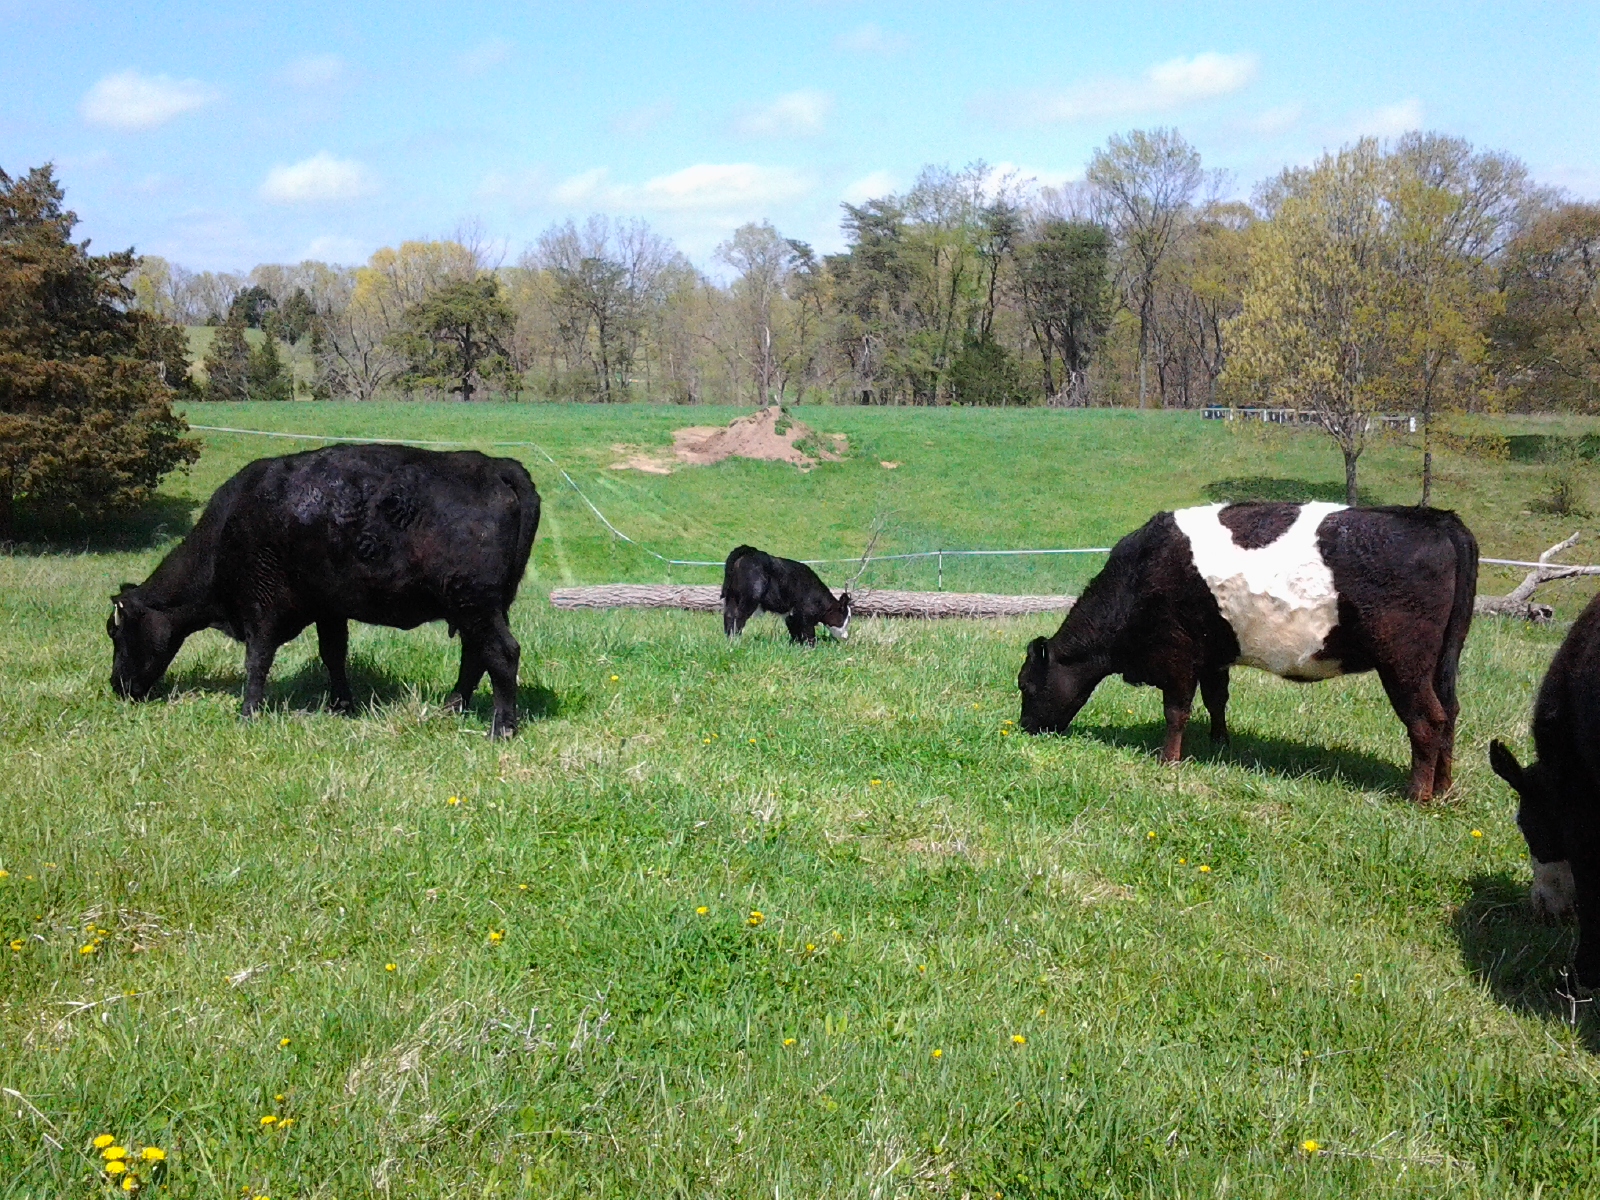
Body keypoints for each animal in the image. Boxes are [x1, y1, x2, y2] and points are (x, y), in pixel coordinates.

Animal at [108, 445, 540, 738]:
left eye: (116, 632)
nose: (117, 687)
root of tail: (495, 466)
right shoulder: (329, 609)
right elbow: (333, 655)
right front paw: (341, 705)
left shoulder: (262, 609)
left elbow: (257, 660)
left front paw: (248, 712)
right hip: (477, 608)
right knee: (476, 656)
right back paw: (450, 709)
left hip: (475, 605)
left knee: (501, 653)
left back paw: (500, 729)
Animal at [722, 545, 852, 644]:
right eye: (846, 618)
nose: (846, 636)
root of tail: (749, 551)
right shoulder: (806, 615)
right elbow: (808, 633)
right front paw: (811, 647)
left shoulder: (791, 616)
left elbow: (795, 632)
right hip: (750, 597)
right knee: (738, 617)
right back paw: (736, 641)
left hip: (731, 596)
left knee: (729, 615)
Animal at [1017, 502, 1478, 803]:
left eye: (1026, 686)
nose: (1023, 727)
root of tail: (1438, 519)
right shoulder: (1213, 655)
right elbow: (1216, 700)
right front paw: (1220, 744)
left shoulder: (1178, 654)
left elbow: (1176, 711)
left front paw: (1169, 762)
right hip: (1442, 663)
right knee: (1451, 712)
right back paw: (1443, 788)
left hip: (1404, 663)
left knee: (1427, 720)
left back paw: (1416, 795)